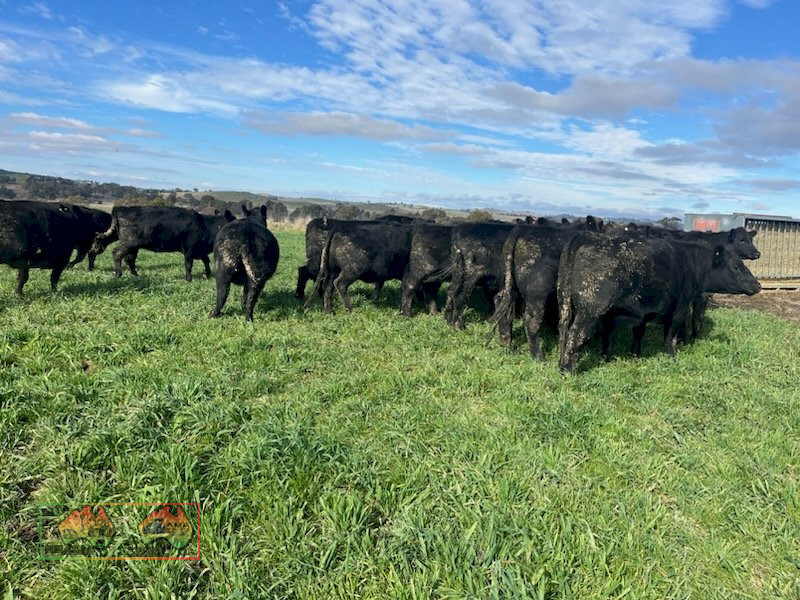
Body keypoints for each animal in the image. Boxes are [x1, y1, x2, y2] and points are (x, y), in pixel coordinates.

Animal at [92, 206, 234, 281]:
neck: (206, 226)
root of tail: (120, 208)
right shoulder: (189, 249)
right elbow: (189, 265)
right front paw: (189, 279)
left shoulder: (200, 250)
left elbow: (206, 260)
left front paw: (208, 273)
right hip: (128, 243)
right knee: (117, 254)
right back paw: (118, 273)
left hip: (133, 246)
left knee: (130, 259)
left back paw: (135, 274)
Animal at [557, 235, 761, 373]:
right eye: (736, 266)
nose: (758, 285)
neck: (690, 262)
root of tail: (587, 238)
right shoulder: (679, 309)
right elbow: (670, 335)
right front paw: (672, 356)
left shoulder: (641, 311)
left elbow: (635, 332)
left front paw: (633, 355)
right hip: (590, 311)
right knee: (575, 334)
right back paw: (568, 370)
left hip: (570, 306)